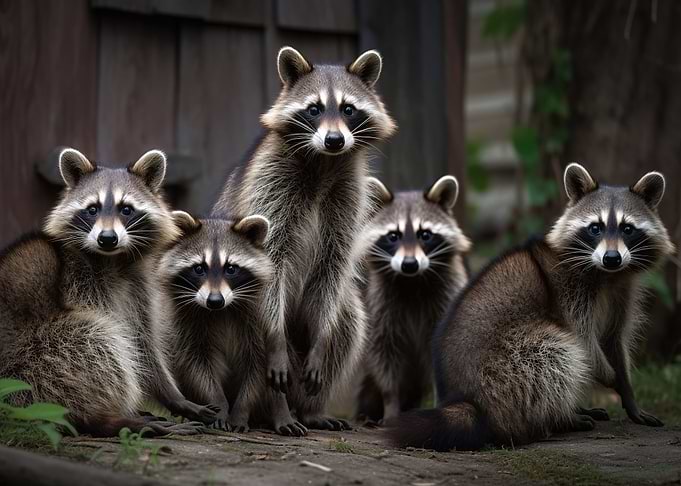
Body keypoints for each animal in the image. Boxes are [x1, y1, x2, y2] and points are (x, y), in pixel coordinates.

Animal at [0, 148, 216, 437]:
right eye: (92, 209)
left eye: (126, 209)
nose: (107, 238)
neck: (113, 259)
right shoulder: (79, 283)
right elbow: (119, 337)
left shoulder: (139, 289)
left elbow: (142, 343)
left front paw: (173, 396)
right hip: (30, 360)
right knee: (97, 338)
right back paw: (104, 418)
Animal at [160, 213, 307, 436]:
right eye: (199, 268)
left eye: (231, 269)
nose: (214, 301)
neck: (222, 311)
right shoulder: (187, 324)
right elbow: (198, 366)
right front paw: (219, 408)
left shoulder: (260, 324)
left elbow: (257, 370)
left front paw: (240, 412)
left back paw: (281, 412)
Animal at [214, 47, 396, 430]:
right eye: (314, 109)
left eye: (348, 109)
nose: (334, 140)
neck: (324, 162)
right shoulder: (270, 184)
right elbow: (271, 261)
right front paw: (276, 352)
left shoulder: (349, 199)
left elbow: (333, 267)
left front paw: (321, 344)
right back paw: (280, 410)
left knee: (347, 320)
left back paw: (311, 410)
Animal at [356, 175, 471, 423]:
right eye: (393, 236)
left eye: (425, 234)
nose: (409, 264)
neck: (413, 280)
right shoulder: (381, 308)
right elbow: (385, 358)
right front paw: (390, 405)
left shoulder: (446, 299)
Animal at [386, 164, 675, 451]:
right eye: (595, 228)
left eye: (628, 229)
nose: (612, 258)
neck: (607, 275)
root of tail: (467, 400)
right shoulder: (568, 291)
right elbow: (584, 344)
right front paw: (611, 378)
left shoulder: (622, 294)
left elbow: (613, 340)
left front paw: (627, 391)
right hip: (502, 368)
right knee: (556, 354)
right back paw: (561, 418)